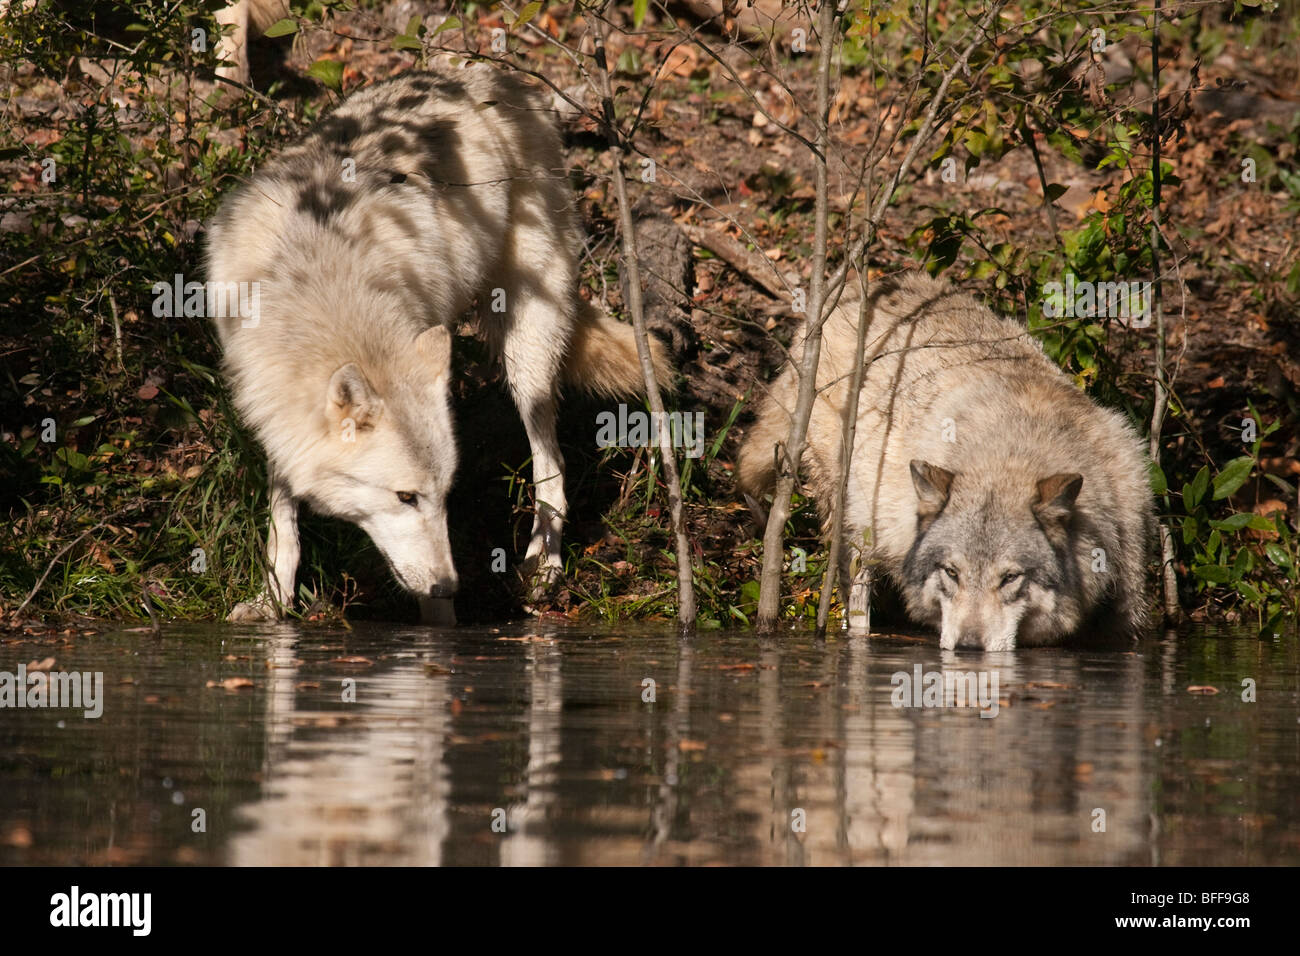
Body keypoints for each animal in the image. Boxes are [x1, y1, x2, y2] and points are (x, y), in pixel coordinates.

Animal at [206, 65, 668, 622]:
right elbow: (283, 519)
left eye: (443, 495)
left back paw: (544, 565)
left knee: (551, 465)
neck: (316, 285)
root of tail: (496, 76)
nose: (450, 585)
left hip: (527, 350)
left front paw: (439, 631)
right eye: (406, 497)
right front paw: (273, 600)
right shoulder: (273, 406)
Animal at [737, 272, 1154, 650]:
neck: (1012, 456)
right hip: (856, 519)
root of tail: (858, 289)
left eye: (1009, 578)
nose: (969, 647)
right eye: (952, 573)